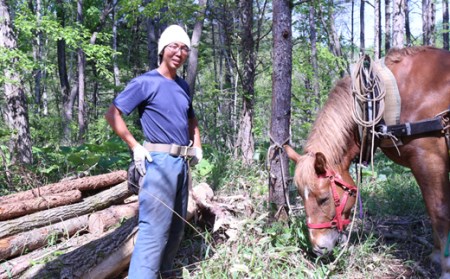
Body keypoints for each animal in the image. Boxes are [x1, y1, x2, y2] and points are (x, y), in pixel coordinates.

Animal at [284, 47, 450, 278]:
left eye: (324, 199)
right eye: (300, 196)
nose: (318, 248)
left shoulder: (431, 158)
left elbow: (439, 211)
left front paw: (446, 266)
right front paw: (436, 254)